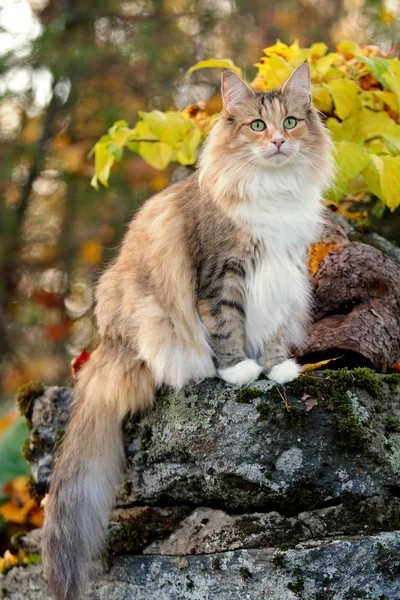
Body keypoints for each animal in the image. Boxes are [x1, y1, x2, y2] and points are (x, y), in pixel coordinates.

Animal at [42, 63, 332, 596]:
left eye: (292, 121)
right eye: (257, 126)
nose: (279, 140)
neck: (272, 192)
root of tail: (105, 348)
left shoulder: (283, 275)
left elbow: (274, 331)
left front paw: (278, 368)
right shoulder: (222, 271)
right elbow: (227, 325)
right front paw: (239, 370)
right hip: (148, 315)